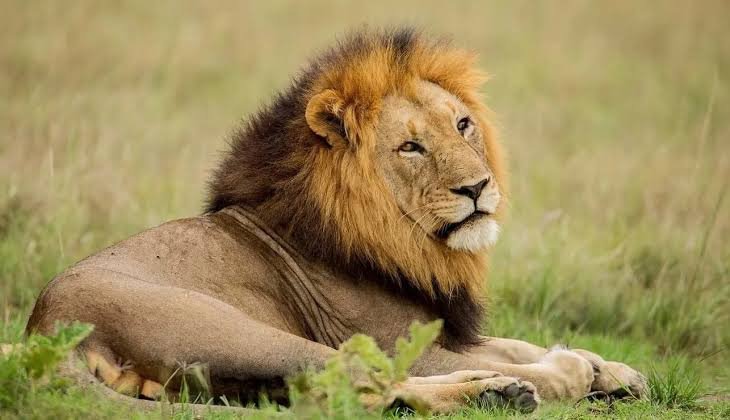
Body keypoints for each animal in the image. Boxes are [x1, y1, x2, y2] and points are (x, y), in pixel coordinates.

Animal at [24, 28, 646, 414]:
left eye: (463, 125)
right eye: (410, 147)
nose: (477, 188)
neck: (406, 239)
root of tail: (44, 330)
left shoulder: (443, 326)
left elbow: (517, 342)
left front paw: (613, 369)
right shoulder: (403, 341)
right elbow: (520, 356)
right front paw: (575, 372)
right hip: (243, 332)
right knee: (355, 380)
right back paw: (501, 394)